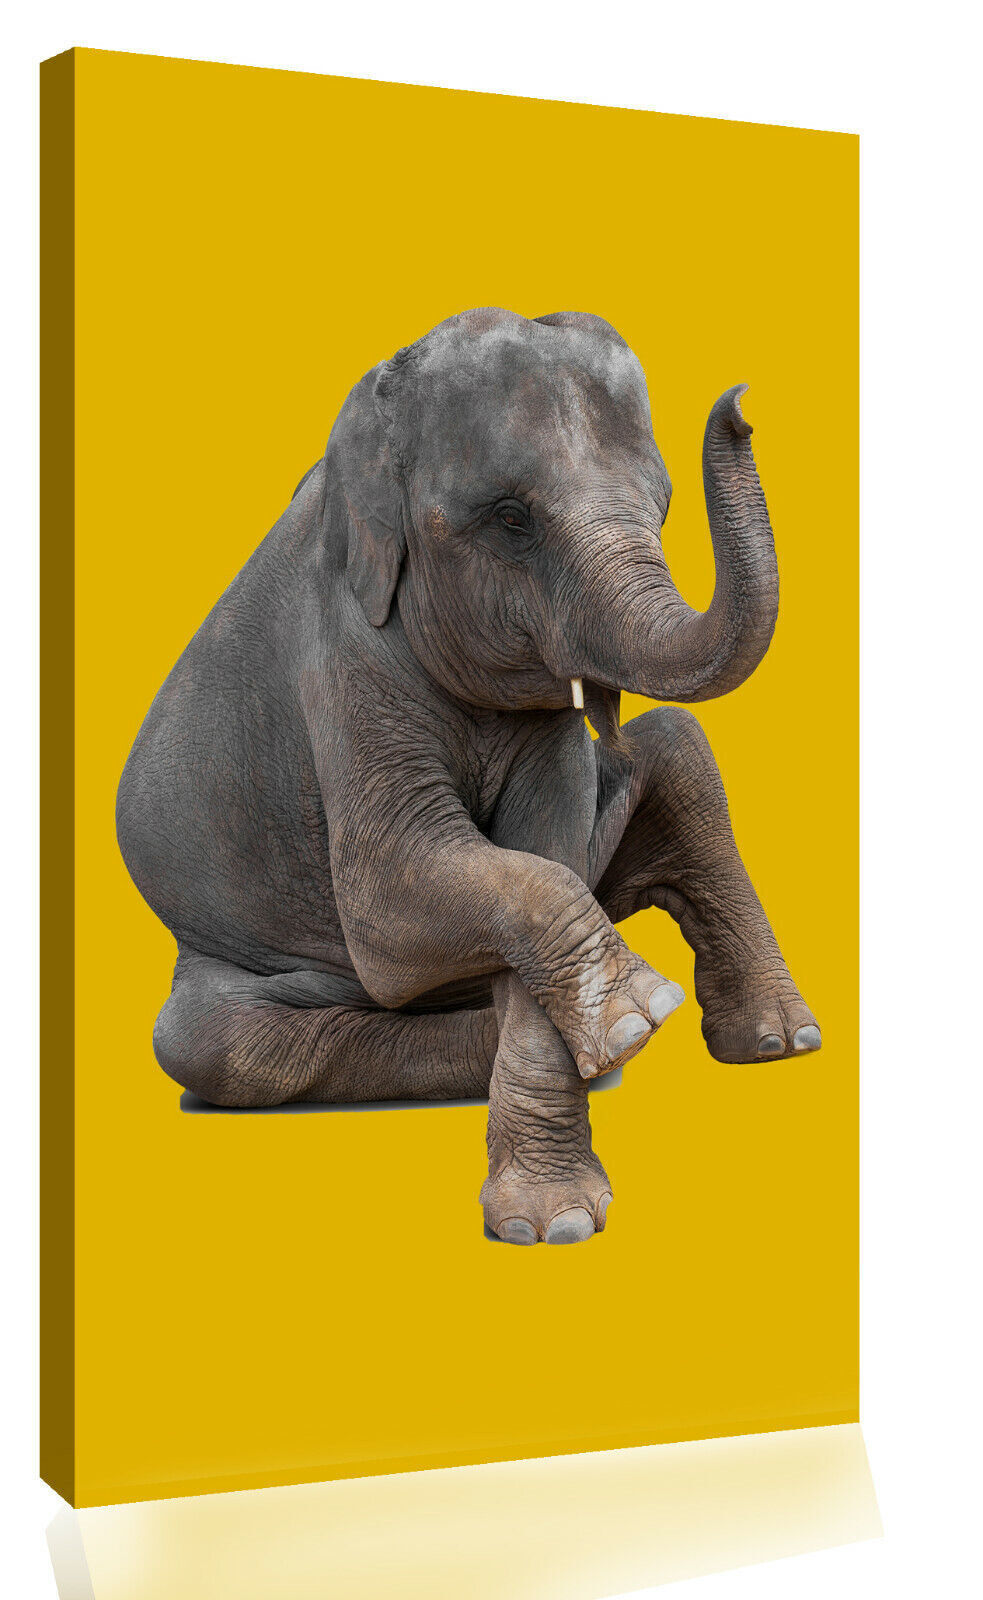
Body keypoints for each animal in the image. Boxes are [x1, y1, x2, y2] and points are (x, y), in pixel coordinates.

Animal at [116, 306, 820, 1246]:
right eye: (511, 518)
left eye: (663, 506)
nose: (740, 404)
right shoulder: (343, 651)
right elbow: (392, 897)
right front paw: (639, 1018)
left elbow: (548, 854)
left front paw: (552, 1216)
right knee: (215, 1046)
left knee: (676, 745)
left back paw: (778, 1043)